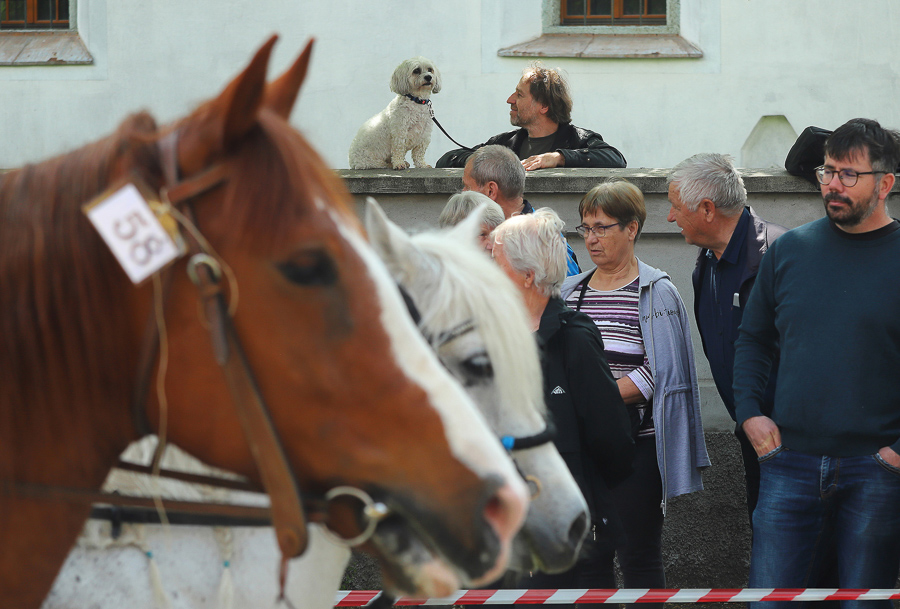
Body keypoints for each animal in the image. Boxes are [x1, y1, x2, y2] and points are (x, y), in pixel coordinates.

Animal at [0, 35, 531, 609]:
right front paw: (404, 171)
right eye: (306, 265)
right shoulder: (394, 139)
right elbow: (398, 154)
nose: (428, 78)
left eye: (429, 69)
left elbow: (415, 153)